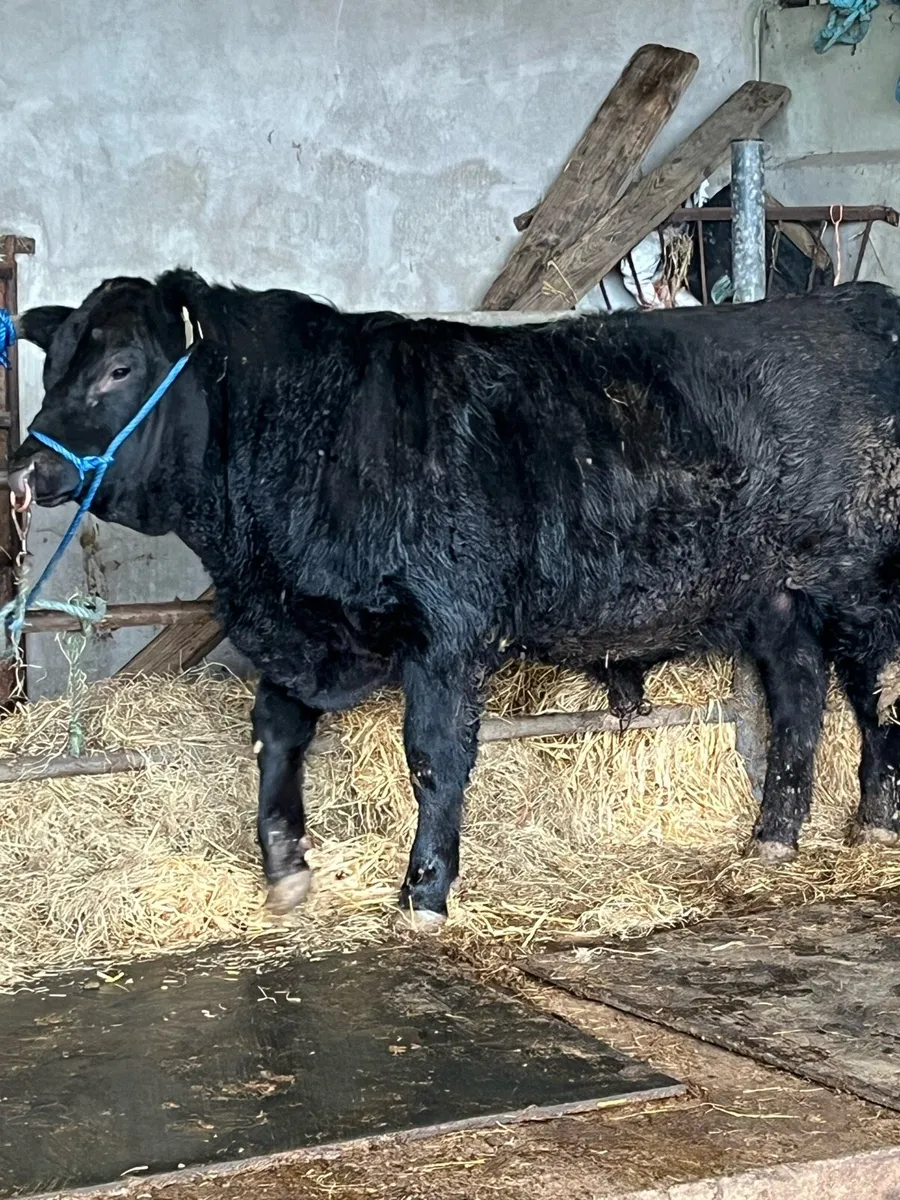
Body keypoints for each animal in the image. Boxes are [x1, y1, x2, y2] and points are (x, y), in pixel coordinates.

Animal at [9, 272, 900, 929]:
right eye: (51, 367)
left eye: (120, 368)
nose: (24, 469)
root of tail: (862, 300)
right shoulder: (310, 629)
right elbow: (276, 733)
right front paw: (286, 865)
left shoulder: (446, 630)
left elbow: (434, 757)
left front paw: (423, 893)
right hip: (779, 599)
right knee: (798, 702)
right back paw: (773, 839)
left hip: (865, 590)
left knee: (874, 698)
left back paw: (874, 823)